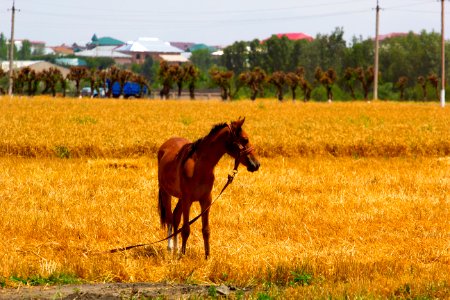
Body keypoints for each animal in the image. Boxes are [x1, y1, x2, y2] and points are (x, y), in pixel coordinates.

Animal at [157, 117, 260, 258]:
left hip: (180, 198)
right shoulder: (188, 200)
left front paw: (207, 256)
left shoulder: (206, 200)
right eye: (245, 139)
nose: (256, 164)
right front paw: (183, 256)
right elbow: (186, 229)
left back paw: (176, 249)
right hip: (166, 193)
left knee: (175, 217)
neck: (199, 167)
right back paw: (170, 249)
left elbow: (206, 230)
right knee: (169, 219)